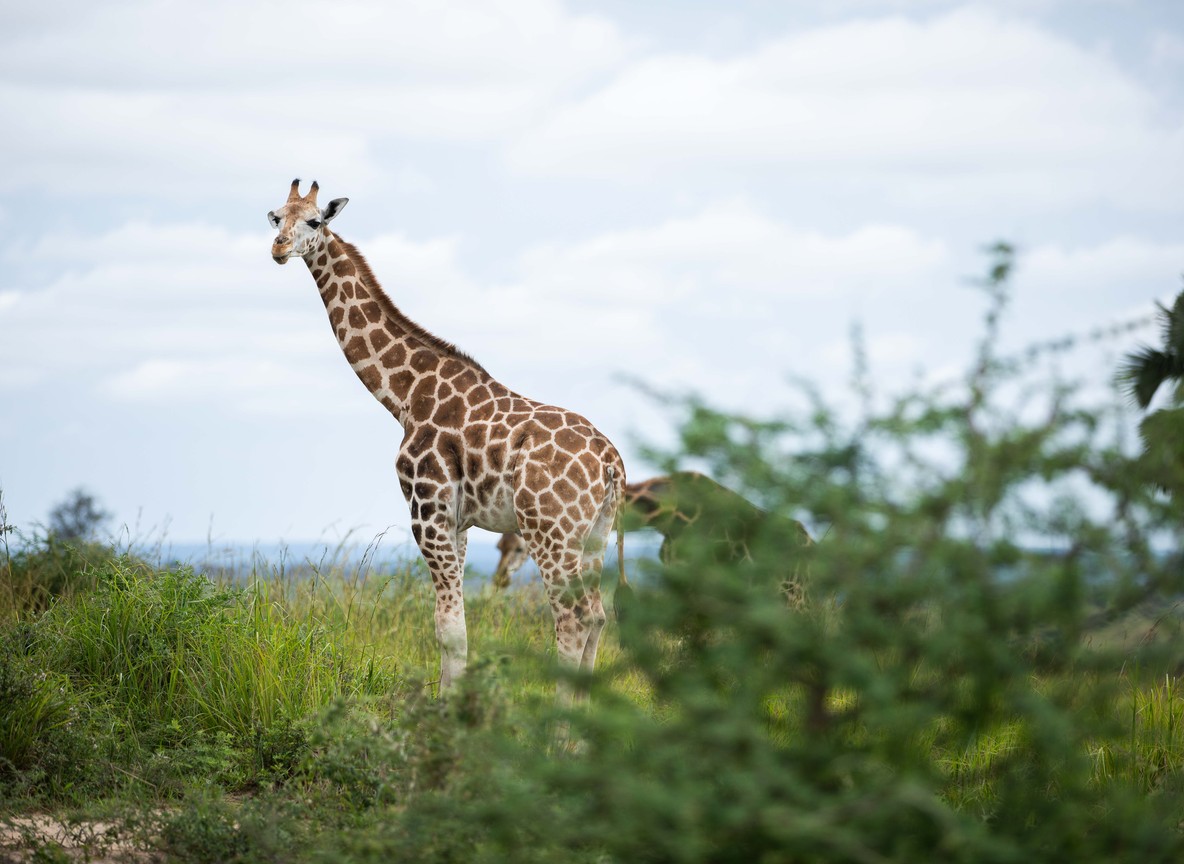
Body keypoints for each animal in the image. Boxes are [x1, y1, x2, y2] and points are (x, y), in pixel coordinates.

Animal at [268, 179, 626, 699]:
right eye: (276, 216)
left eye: (314, 221)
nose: (277, 248)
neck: (404, 397)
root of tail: (611, 462)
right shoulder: (458, 521)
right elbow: (455, 625)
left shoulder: (427, 509)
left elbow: (448, 625)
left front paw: (447, 711)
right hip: (596, 532)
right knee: (597, 615)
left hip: (549, 531)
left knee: (572, 616)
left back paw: (562, 720)